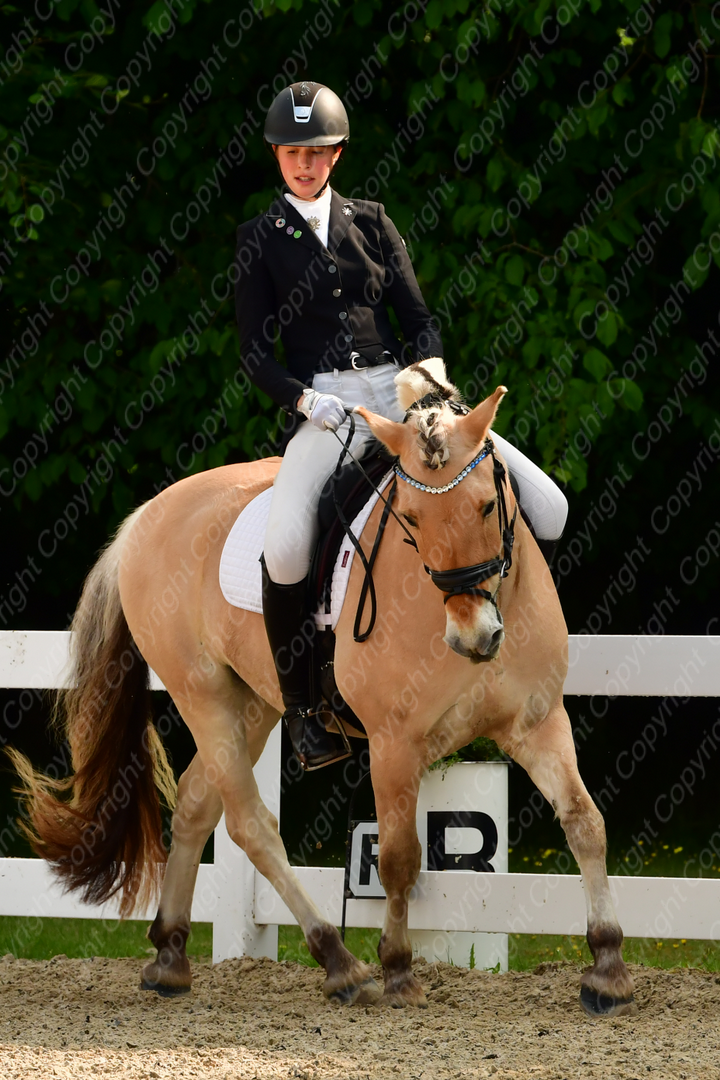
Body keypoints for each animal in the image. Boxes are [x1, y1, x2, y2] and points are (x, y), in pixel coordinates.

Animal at [11, 361, 636, 1016]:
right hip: (201, 694)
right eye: (411, 520)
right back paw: (340, 962)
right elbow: (398, 858)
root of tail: (145, 516)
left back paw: (170, 955)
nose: (474, 637)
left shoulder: (538, 721)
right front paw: (398, 971)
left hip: (253, 703)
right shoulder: (394, 744)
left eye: (489, 505)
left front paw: (608, 969)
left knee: (197, 804)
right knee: (251, 824)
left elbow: (584, 821)